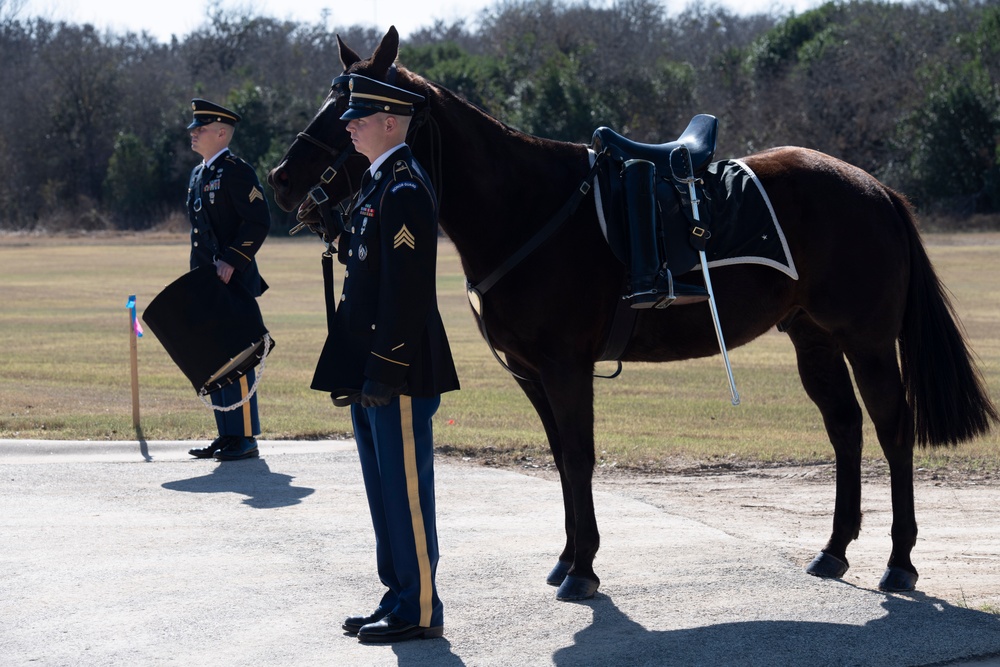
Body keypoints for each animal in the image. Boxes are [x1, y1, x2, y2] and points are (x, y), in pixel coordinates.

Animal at [270, 26, 996, 604]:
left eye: (350, 110)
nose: (280, 179)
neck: (527, 208)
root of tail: (876, 188)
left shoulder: (565, 368)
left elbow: (580, 457)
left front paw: (583, 569)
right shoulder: (533, 374)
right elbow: (562, 460)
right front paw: (568, 557)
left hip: (866, 341)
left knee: (893, 430)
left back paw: (899, 561)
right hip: (814, 340)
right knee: (845, 428)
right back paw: (835, 548)